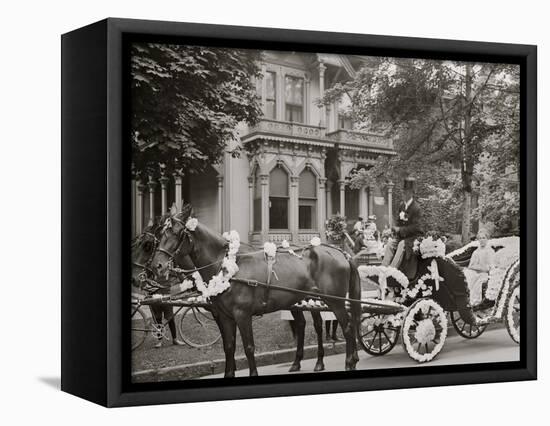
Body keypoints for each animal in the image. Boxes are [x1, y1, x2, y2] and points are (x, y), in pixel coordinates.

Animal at [151, 206, 364, 376]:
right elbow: (229, 347)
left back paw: (348, 362)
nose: (157, 266)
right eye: (161, 234)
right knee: (311, 325)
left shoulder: (242, 315)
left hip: (334, 301)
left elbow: (248, 347)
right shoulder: (225, 316)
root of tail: (340, 253)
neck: (226, 265)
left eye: (177, 233)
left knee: (346, 327)